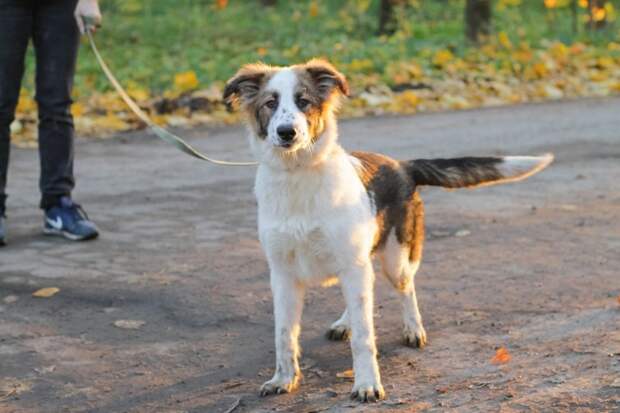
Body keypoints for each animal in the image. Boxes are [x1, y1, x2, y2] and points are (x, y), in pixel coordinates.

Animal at [222, 59, 552, 400]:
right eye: (270, 103)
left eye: (304, 101)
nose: (287, 132)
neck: (297, 174)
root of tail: (402, 166)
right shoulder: (283, 274)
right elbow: (284, 335)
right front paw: (283, 379)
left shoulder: (352, 264)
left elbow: (364, 337)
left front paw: (367, 383)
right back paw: (345, 322)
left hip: (396, 258)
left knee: (406, 289)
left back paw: (413, 328)